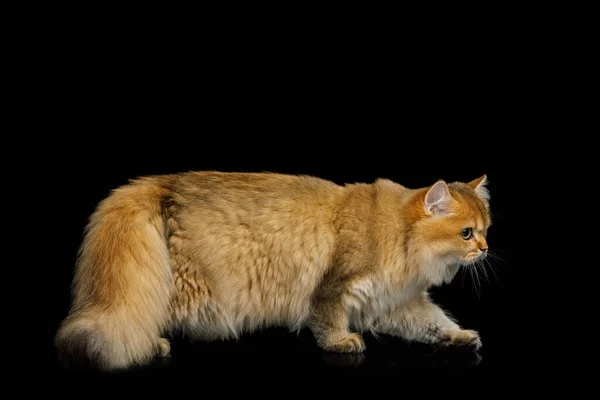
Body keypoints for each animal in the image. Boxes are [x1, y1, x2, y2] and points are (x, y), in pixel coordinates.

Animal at [54, 170, 490, 370]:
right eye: (466, 233)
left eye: (487, 229)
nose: (485, 249)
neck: (399, 234)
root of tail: (161, 183)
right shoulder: (334, 286)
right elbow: (327, 320)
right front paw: (341, 343)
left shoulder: (397, 303)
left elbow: (436, 322)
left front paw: (460, 336)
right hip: (185, 286)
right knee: (145, 311)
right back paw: (154, 344)